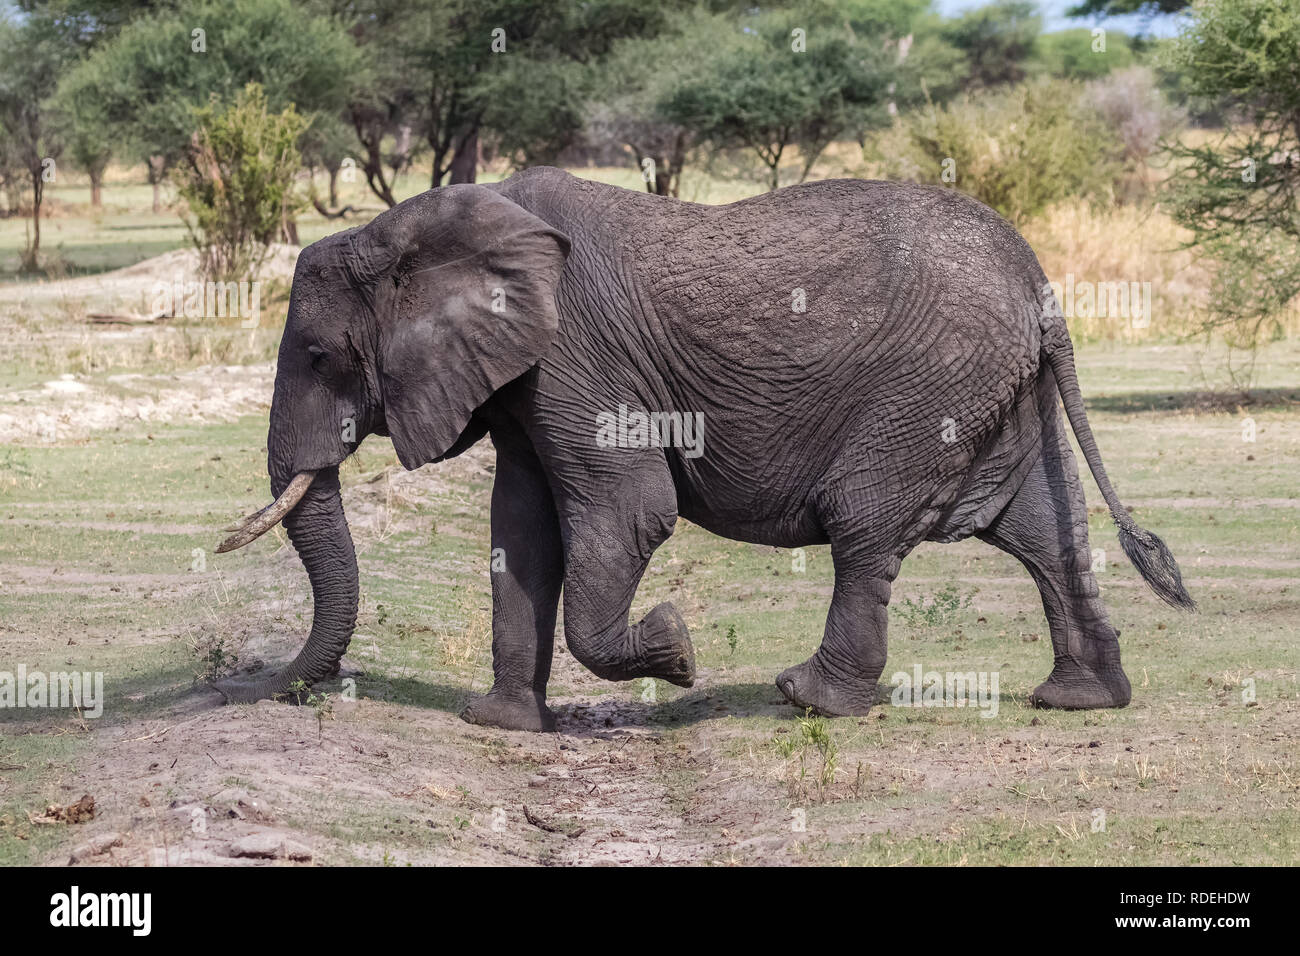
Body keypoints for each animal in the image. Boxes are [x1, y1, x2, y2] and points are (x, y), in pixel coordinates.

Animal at [215, 166, 1196, 733]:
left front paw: (675, 652)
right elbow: (520, 531)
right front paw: (498, 724)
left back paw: (807, 698)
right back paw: (1079, 701)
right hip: (993, 389)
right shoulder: (527, 376)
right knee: (1039, 532)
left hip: (930, 385)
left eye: (319, 356)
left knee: (864, 527)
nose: (260, 689)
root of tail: (1041, 285)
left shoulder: (579, 355)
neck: (417, 225)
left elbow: (628, 511)